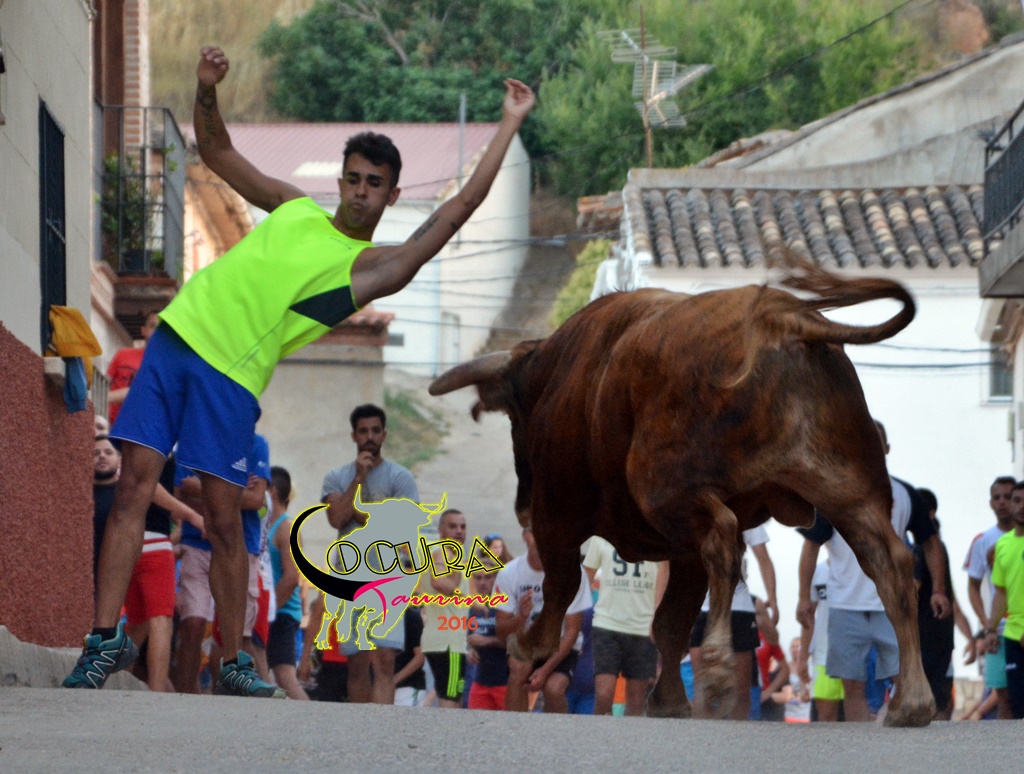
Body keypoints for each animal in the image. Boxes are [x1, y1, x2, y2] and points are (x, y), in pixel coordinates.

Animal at [427, 263, 937, 727]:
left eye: (516, 421)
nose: (520, 506)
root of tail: (785, 320)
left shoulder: (559, 511)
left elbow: (563, 585)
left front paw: (532, 643)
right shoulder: (681, 550)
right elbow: (670, 623)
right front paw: (670, 699)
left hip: (667, 489)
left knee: (725, 540)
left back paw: (717, 666)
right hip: (848, 491)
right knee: (890, 563)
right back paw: (911, 702)